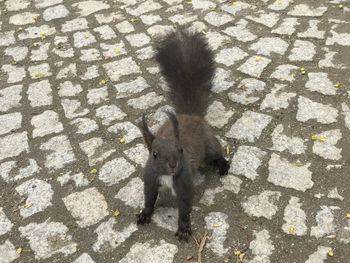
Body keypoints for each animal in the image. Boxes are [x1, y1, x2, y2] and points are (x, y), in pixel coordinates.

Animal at [137, 29, 230, 242]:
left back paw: (222, 165)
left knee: (217, 152)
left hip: (210, 144)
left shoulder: (184, 182)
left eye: (181, 150)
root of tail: (190, 115)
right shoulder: (150, 178)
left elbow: (185, 206)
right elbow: (149, 198)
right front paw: (145, 214)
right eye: (154, 154)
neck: (167, 176)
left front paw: (184, 228)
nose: (173, 164)